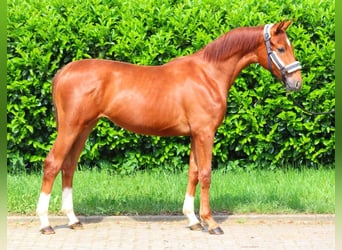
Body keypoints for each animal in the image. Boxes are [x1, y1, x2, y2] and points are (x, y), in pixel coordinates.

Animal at [36, 21, 300, 234]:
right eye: (281, 49)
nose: (297, 83)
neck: (208, 75)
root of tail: (64, 71)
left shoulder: (195, 134)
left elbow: (193, 173)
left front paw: (193, 220)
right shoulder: (205, 133)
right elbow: (206, 174)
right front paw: (211, 223)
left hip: (84, 128)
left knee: (68, 167)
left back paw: (73, 220)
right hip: (70, 128)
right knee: (52, 164)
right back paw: (46, 224)